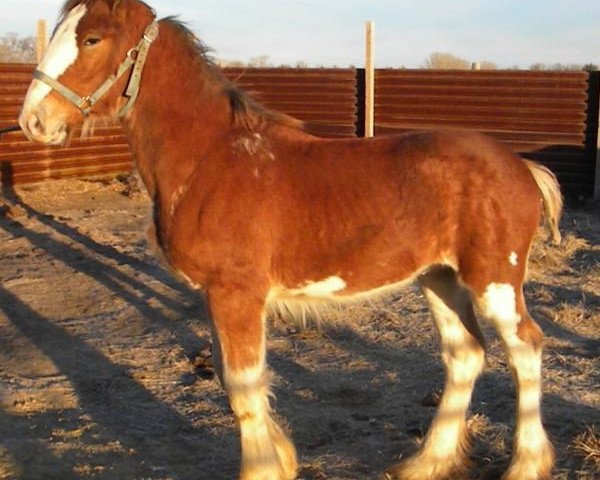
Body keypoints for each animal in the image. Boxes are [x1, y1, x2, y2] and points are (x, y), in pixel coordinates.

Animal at [18, 1, 564, 478]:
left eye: (91, 39)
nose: (33, 122)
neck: (213, 157)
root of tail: (521, 167)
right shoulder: (216, 297)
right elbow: (230, 379)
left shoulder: (236, 294)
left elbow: (242, 387)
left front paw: (262, 468)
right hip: (440, 279)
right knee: (465, 355)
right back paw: (426, 463)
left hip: (493, 280)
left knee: (525, 348)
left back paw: (525, 465)